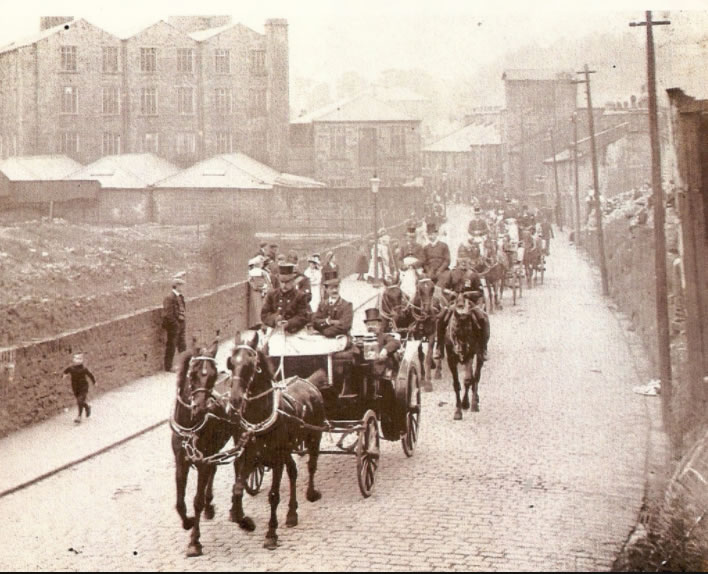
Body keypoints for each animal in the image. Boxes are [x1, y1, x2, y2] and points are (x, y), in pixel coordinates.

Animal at [170, 338, 233, 557]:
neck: (190, 426)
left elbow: (196, 500)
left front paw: (194, 542)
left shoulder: (203, 461)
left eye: (212, 375)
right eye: (193, 373)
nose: (202, 407)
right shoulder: (181, 461)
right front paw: (187, 522)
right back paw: (209, 506)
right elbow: (180, 502)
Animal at [228, 330, 326, 550]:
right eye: (230, 363)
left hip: (314, 438)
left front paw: (271, 534)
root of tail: (308, 381)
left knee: (311, 466)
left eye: (252, 364)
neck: (259, 420)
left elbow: (273, 496)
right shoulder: (249, 457)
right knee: (293, 472)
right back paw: (292, 513)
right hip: (288, 451)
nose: (235, 399)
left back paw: (310, 494)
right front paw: (244, 521)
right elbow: (237, 488)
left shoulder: (277, 460)